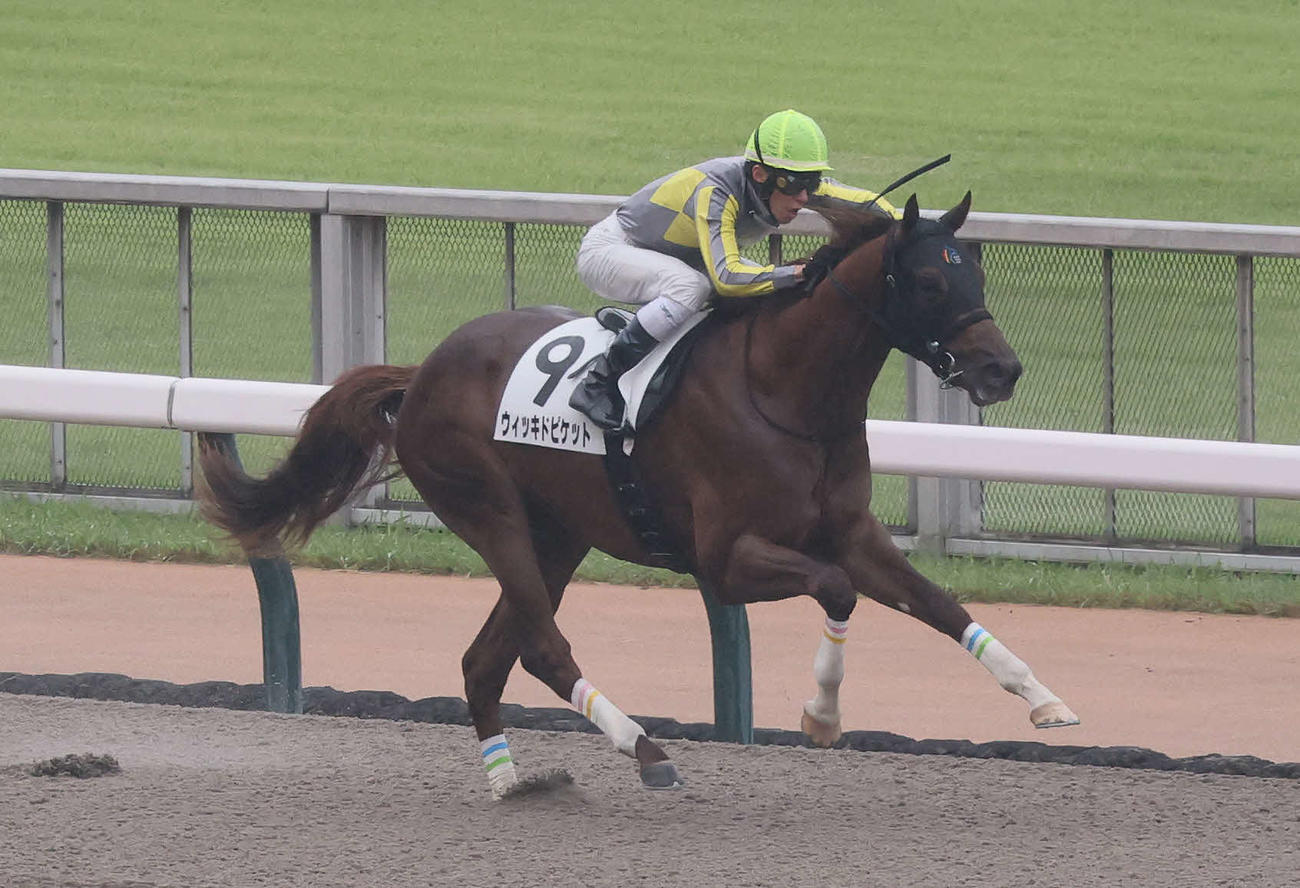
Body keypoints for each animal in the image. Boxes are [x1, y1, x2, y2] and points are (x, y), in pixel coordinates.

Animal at [197, 192, 1079, 799]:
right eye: (928, 281)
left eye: (977, 271)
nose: (1002, 369)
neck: (785, 391)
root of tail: (420, 375)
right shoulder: (725, 560)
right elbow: (835, 591)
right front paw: (822, 715)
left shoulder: (853, 531)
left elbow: (939, 603)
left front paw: (1046, 701)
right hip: (488, 509)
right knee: (542, 648)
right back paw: (645, 750)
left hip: (557, 534)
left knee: (488, 658)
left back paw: (512, 782)